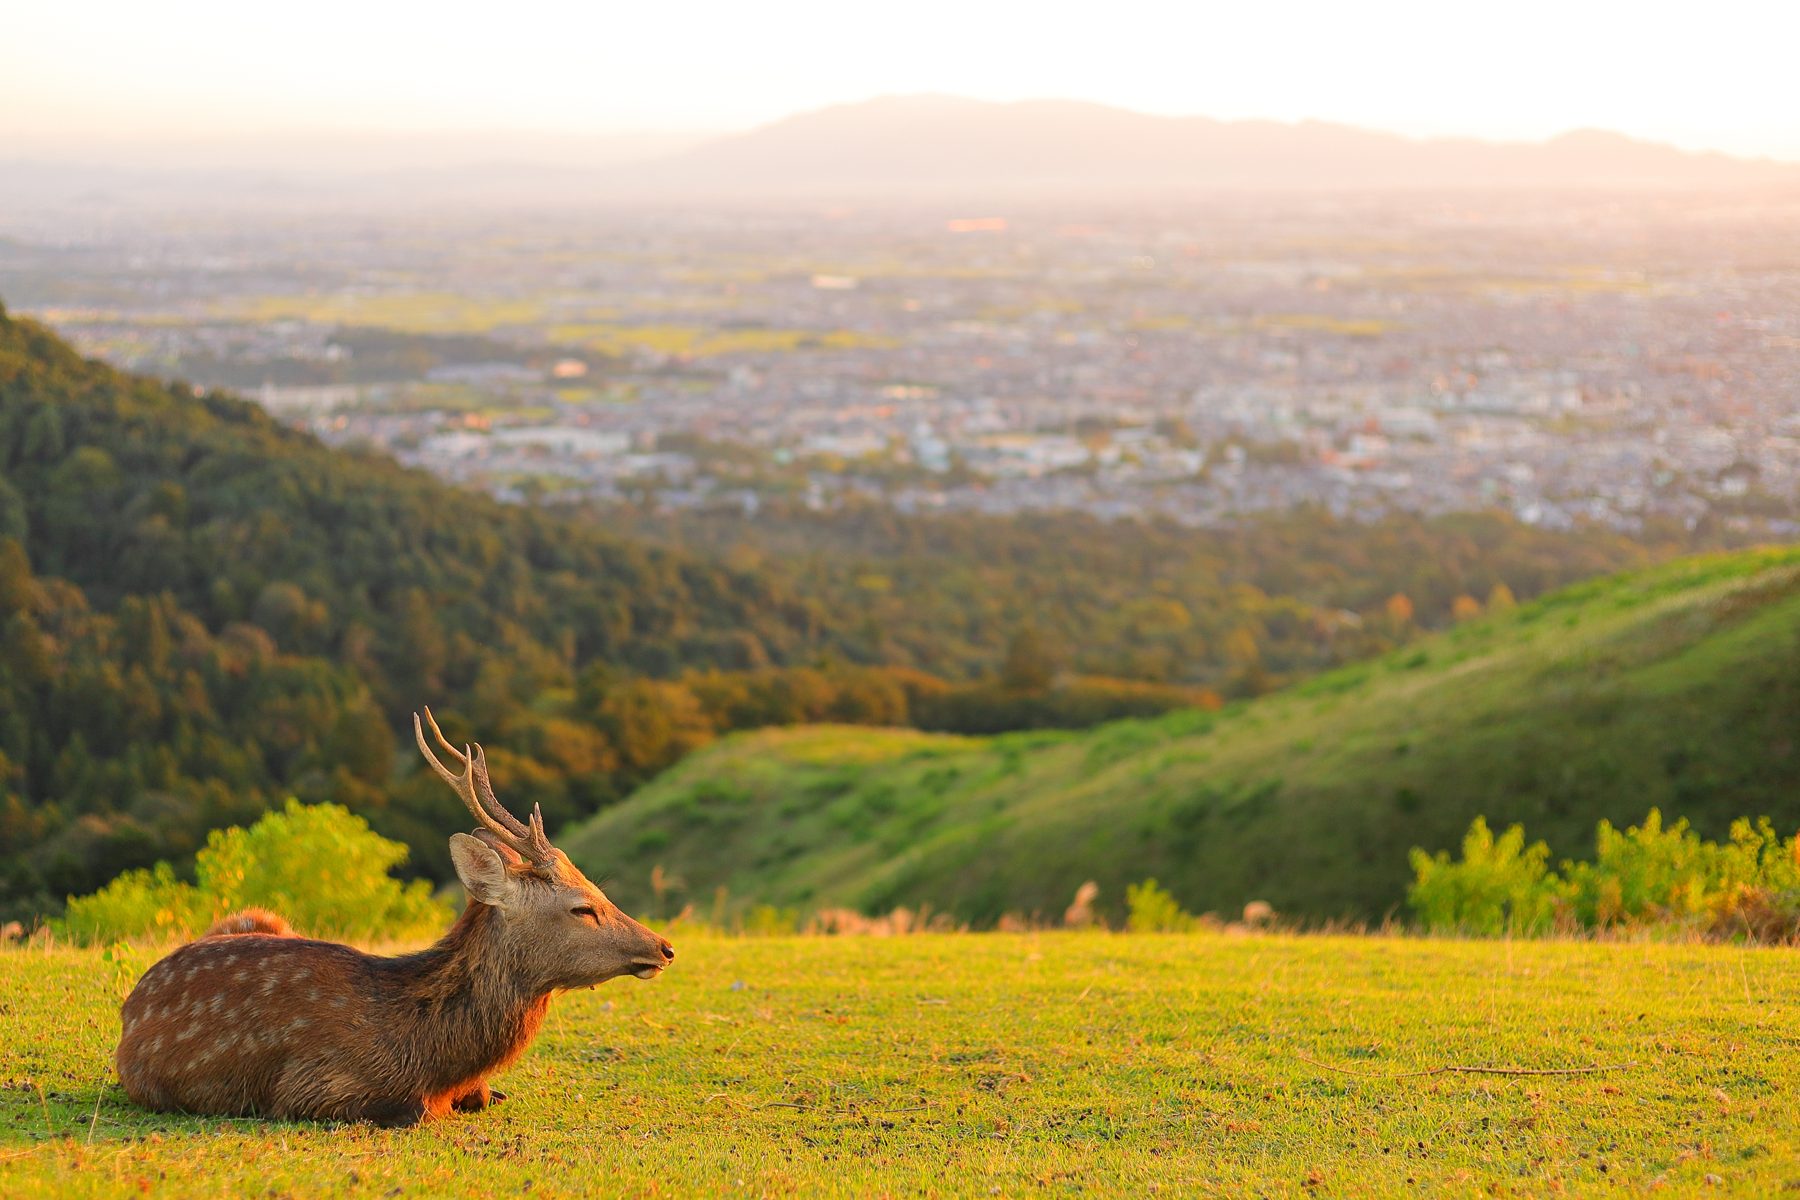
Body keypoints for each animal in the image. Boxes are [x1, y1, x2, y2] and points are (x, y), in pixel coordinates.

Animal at [114, 708, 674, 1126]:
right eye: (583, 907)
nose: (664, 947)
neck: (427, 1055)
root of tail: (129, 1007)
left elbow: (482, 1094)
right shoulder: (309, 1086)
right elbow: (417, 1111)